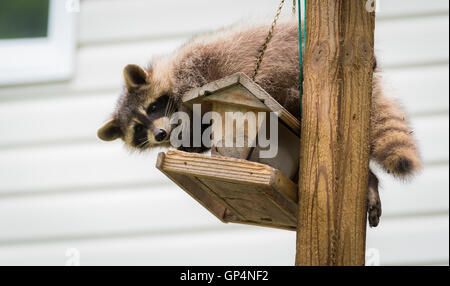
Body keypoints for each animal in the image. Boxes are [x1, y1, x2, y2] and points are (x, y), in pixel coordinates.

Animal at [97, 19, 422, 226]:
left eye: (153, 108)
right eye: (139, 129)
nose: (161, 132)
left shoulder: (195, 68)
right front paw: (190, 145)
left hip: (289, 66)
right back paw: (370, 180)